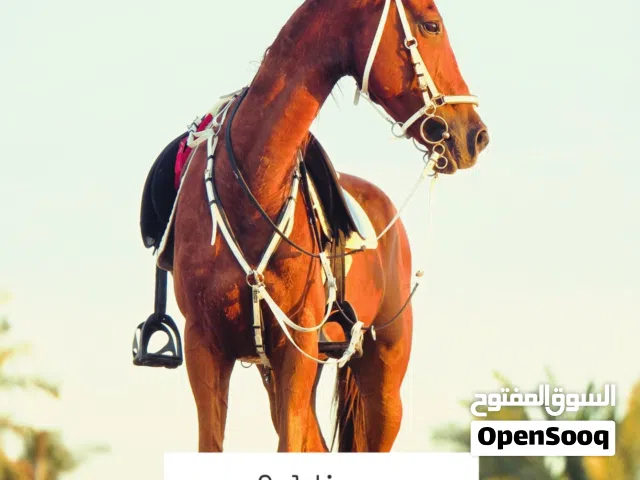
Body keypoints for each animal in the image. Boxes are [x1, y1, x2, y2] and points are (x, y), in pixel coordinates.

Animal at [160, 0, 488, 453]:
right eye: (431, 25)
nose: (475, 134)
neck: (250, 188)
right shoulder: (204, 348)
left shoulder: (296, 349)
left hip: (383, 384)